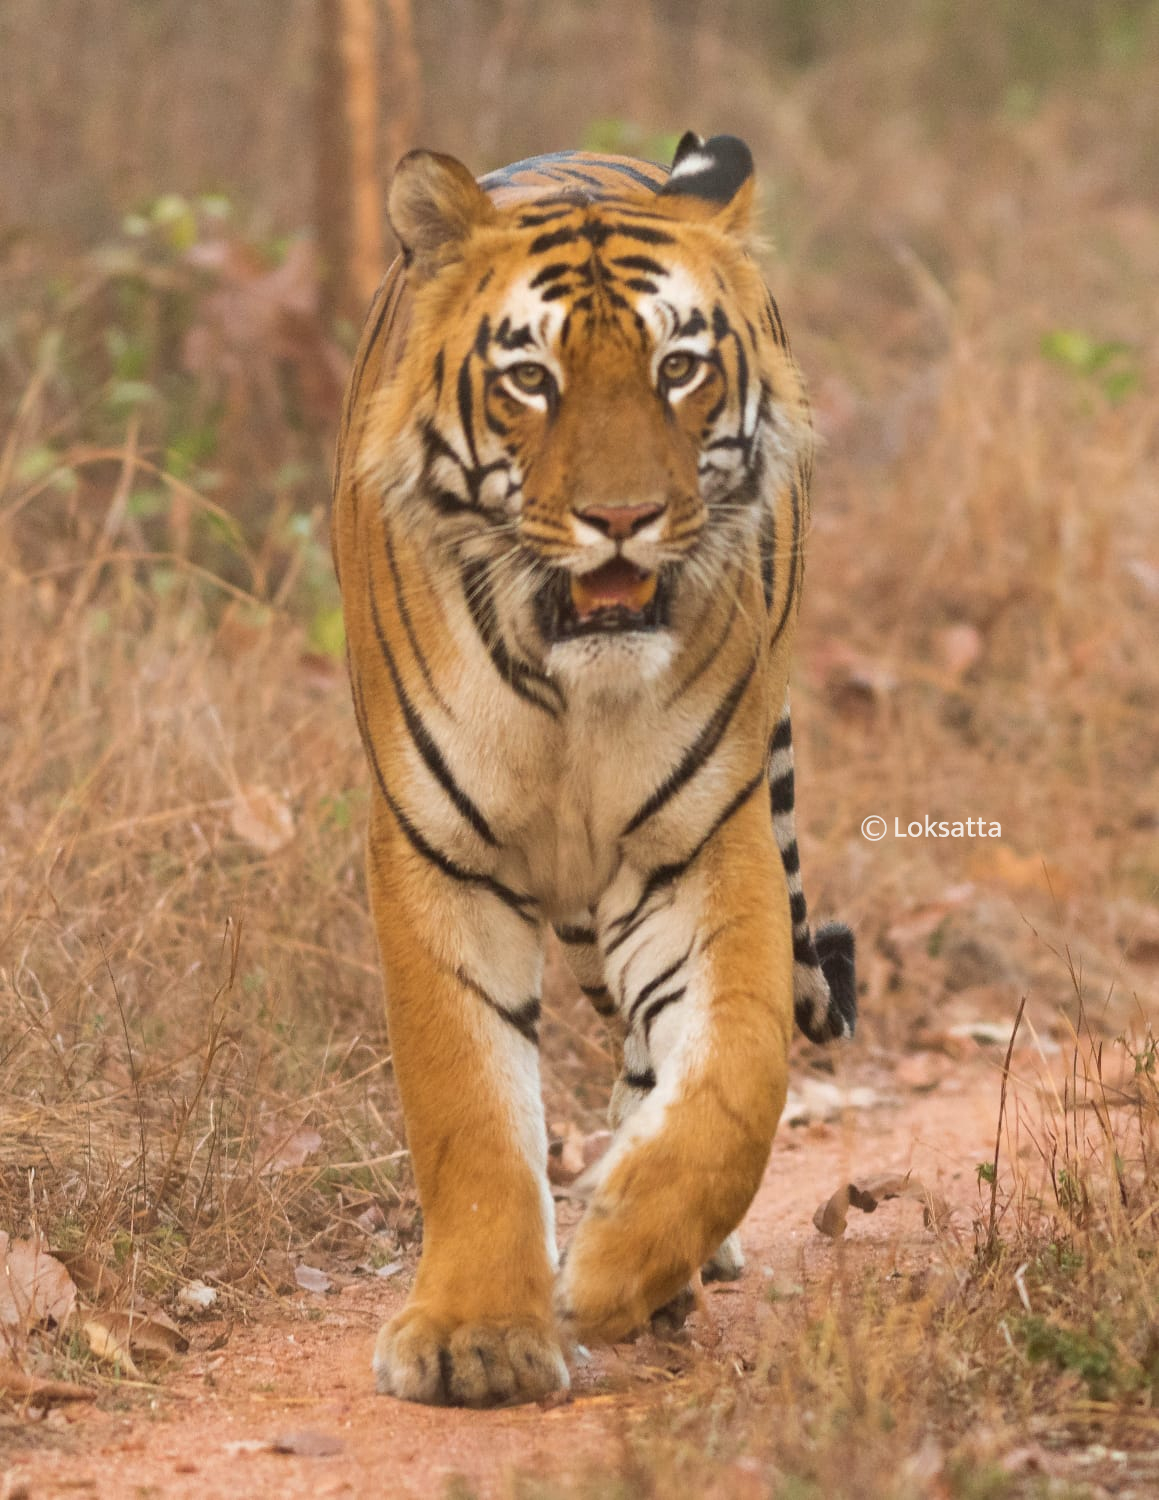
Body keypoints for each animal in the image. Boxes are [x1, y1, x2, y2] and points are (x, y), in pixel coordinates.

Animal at [329, 132, 851, 1404]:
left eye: (678, 369)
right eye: (530, 379)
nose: (624, 517)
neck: (574, 687)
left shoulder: (704, 845)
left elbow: (736, 1079)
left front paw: (621, 1263)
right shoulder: (436, 853)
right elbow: (465, 1103)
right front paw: (475, 1340)